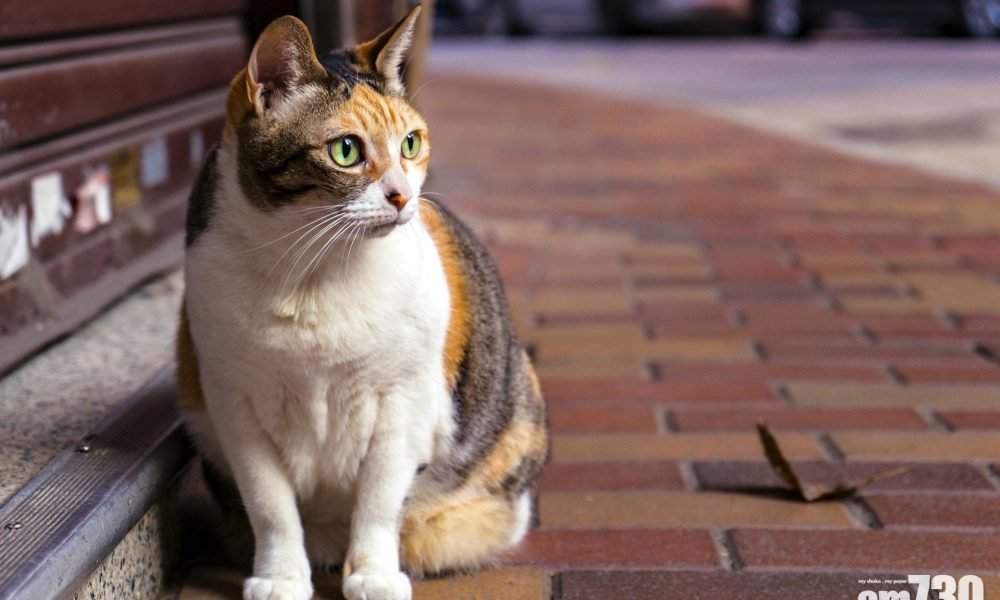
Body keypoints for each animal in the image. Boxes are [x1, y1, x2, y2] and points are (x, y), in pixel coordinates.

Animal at [172, 5, 548, 600]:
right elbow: (270, 505)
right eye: (346, 150)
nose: (403, 195)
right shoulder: (233, 403)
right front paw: (280, 577)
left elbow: (378, 500)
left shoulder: (402, 402)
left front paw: (373, 575)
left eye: (411, 143)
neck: (311, 275)